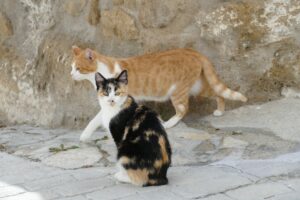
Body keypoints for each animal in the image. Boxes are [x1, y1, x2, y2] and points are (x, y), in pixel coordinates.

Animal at [71, 46, 247, 141]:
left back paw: (169, 123)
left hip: (177, 91)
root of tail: (192, 51)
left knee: (183, 109)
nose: (71, 74)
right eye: (71, 67)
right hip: (198, 87)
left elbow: (97, 119)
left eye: (78, 68)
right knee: (219, 93)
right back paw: (220, 111)